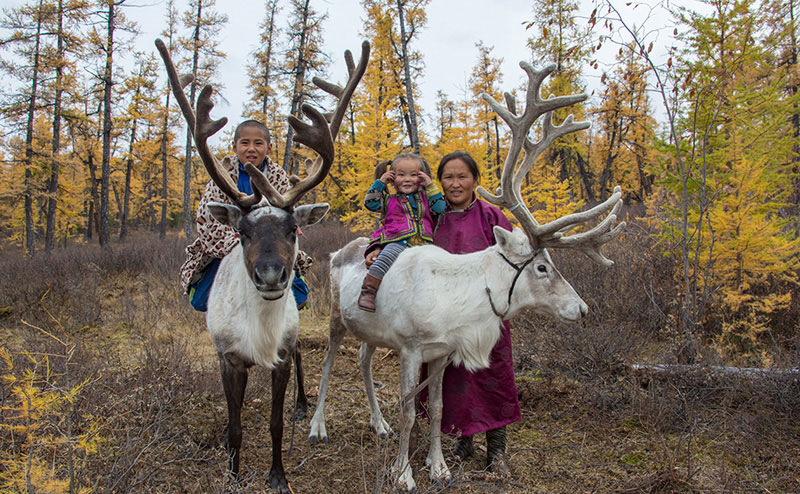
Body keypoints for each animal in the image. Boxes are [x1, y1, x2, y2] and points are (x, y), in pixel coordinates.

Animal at [154, 39, 369, 493]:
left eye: (293, 229)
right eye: (242, 232)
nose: (271, 275)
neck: (259, 332)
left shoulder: (281, 356)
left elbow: (274, 423)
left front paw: (278, 476)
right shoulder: (228, 359)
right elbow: (236, 423)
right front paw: (233, 471)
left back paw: (303, 405)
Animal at [307, 61, 625, 493]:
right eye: (542, 267)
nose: (582, 308)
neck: (461, 302)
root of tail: (338, 250)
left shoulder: (442, 352)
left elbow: (439, 407)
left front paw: (439, 466)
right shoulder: (411, 348)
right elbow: (410, 410)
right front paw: (403, 473)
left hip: (370, 330)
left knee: (362, 358)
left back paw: (378, 423)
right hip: (336, 318)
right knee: (326, 363)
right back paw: (317, 427)